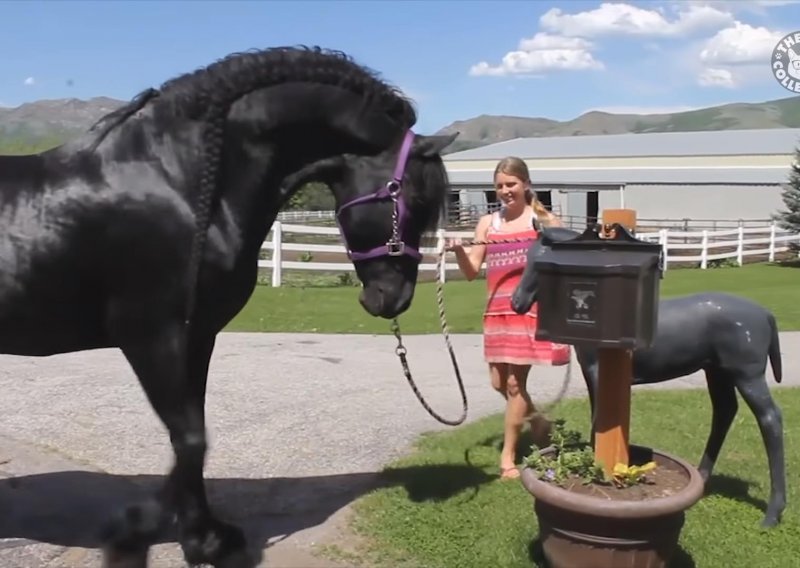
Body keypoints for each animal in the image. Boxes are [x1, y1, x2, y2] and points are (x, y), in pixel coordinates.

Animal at [0, 46, 460, 564]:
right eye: (412, 199)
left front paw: (202, 535)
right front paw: (168, 534)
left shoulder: (196, 337)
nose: (393, 297)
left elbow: (192, 436)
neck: (177, 183)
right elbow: (190, 439)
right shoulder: (153, 338)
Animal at [512, 225, 788, 528]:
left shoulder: (597, 373)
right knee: (725, 412)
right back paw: (703, 479)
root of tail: (765, 314)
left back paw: (773, 513)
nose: (516, 302)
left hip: (747, 375)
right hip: (717, 372)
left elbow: (599, 420)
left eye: (538, 262)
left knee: (770, 418)